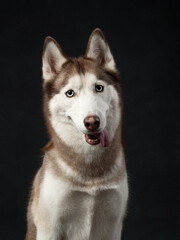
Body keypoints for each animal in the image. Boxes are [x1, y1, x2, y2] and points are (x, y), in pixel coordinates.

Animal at [25, 28, 129, 240]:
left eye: (99, 88)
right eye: (70, 93)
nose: (92, 122)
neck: (89, 174)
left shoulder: (114, 226)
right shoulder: (49, 228)